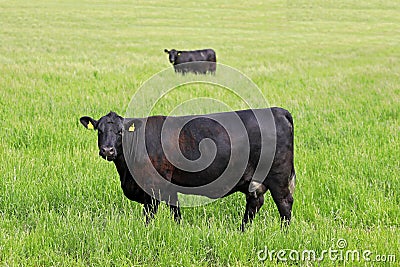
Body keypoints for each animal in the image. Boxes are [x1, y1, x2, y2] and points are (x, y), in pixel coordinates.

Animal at [79, 108, 296, 231]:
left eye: (120, 131)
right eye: (99, 130)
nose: (107, 150)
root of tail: (278, 111)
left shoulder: (153, 188)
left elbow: (149, 214)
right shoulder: (170, 187)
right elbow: (175, 211)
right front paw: (179, 230)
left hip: (278, 176)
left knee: (284, 203)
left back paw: (284, 233)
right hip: (255, 180)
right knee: (254, 203)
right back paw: (241, 230)